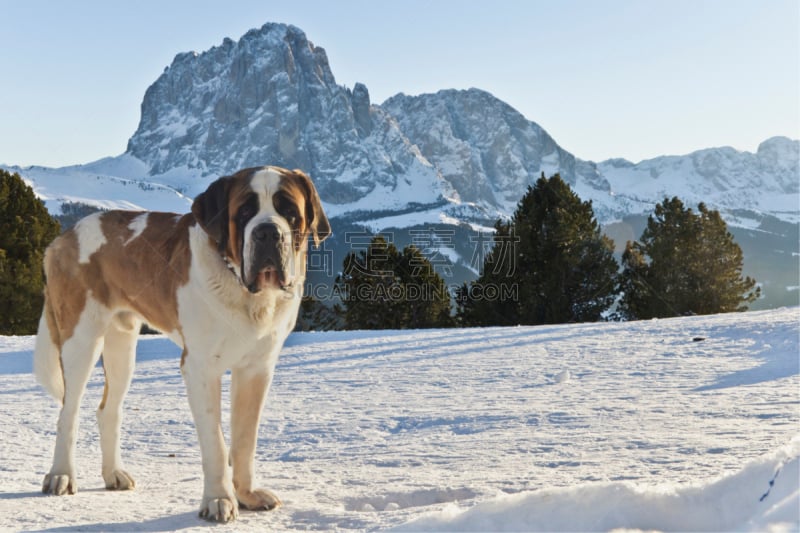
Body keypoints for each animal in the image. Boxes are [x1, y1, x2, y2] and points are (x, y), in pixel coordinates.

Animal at [32, 165, 330, 520]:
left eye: (289, 211)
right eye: (245, 212)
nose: (268, 232)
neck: (242, 289)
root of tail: (65, 236)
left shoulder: (257, 369)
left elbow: (245, 439)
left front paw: (247, 495)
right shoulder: (200, 368)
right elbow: (216, 442)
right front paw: (218, 500)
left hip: (122, 346)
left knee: (108, 409)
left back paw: (113, 474)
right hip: (81, 337)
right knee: (69, 411)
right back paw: (61, 475)